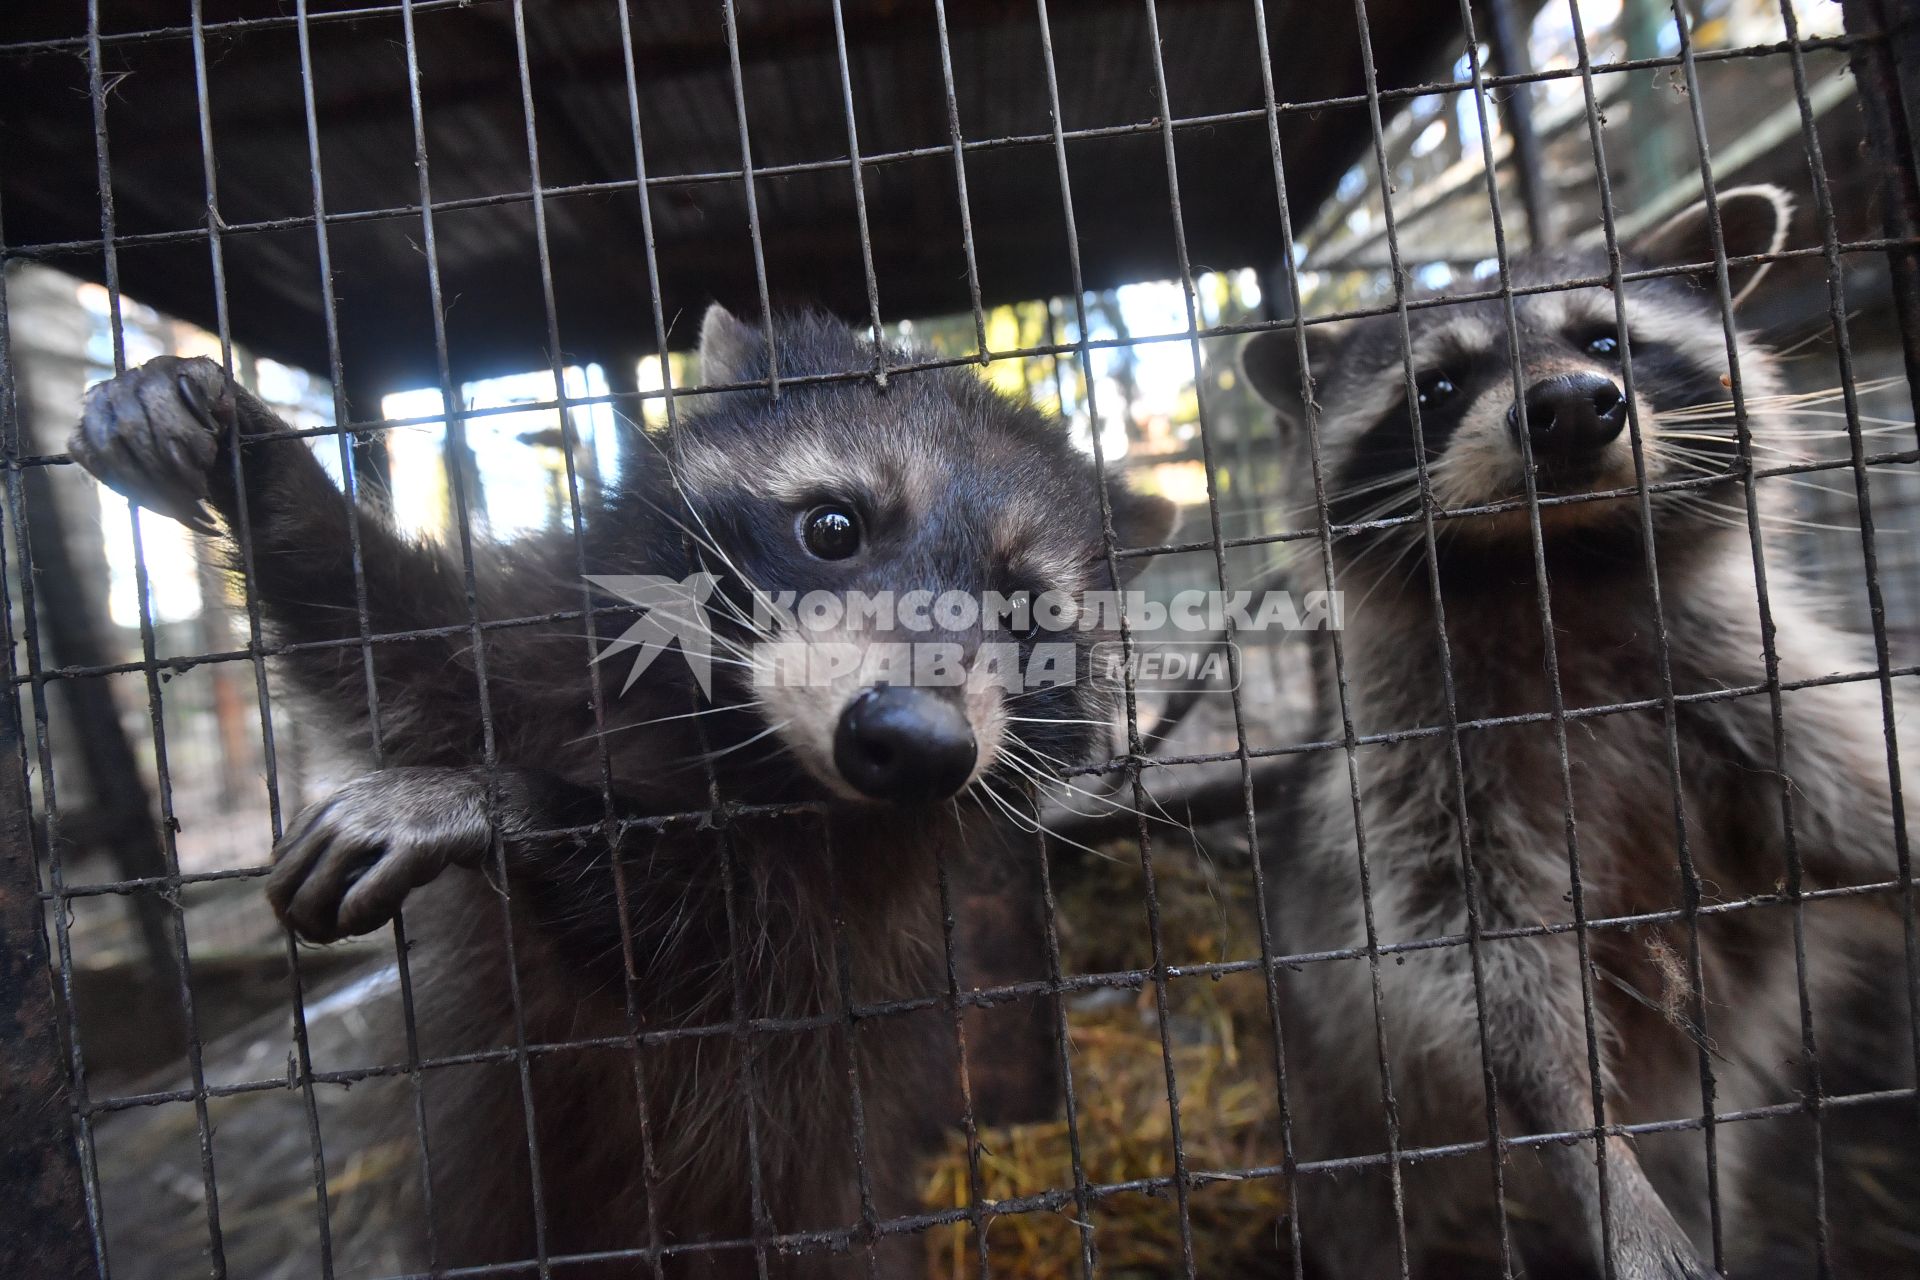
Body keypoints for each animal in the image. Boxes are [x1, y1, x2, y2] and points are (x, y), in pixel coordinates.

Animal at [71, 305, 1167, 1274]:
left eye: (1027, 612)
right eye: (833, 525)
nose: (915, 742)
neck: (736, 738)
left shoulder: (858, 908)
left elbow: (717, 949)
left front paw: (501, 802)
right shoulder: (549, 650)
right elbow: (403, 650)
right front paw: (263, 471)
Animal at [1236, 189, 1912, 1280]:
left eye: (1606, 339)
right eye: (1438, 386)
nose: (1569, 406)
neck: (1558, 571)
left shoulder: (1752, 686)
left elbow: (1870, 816)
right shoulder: (1423, 763)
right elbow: (1482, 967)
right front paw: (1592, 1149)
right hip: (1338, 1106)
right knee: (1362, 1210)